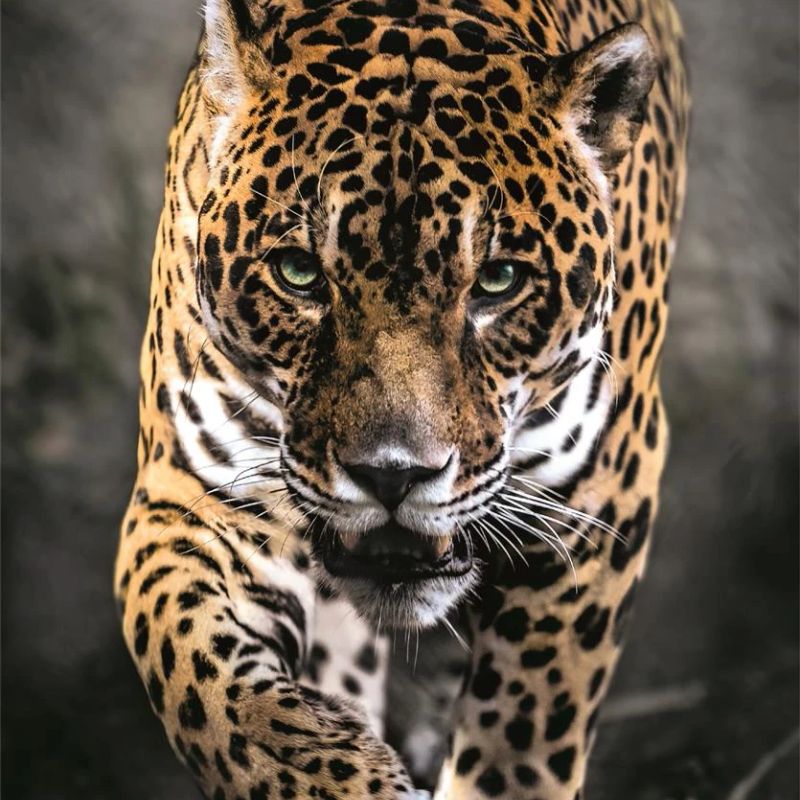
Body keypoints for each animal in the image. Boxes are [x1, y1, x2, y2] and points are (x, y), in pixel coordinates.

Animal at [114, 0, 689, 796]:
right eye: (298, 273)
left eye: (499, 281)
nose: (393, 476)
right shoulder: (194, 496)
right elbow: (208, 685)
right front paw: (345, 775)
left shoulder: (594, 507)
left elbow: (523, 740)